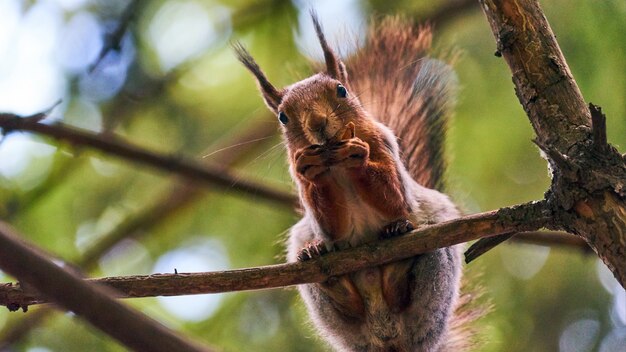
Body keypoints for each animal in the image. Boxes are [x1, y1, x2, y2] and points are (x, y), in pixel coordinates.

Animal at [234, 13, 472, 352]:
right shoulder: (311, 197)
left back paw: (399, 259)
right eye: (282, 116)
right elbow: (331, 227)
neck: (336, 164)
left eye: (341, 90)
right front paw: (314, 171)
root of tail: (389, 339)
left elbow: (395, 200)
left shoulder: (385, 147)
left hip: (437, 259)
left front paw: (358, 155)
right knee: (343, 297)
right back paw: (323, 266)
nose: (317, 123)